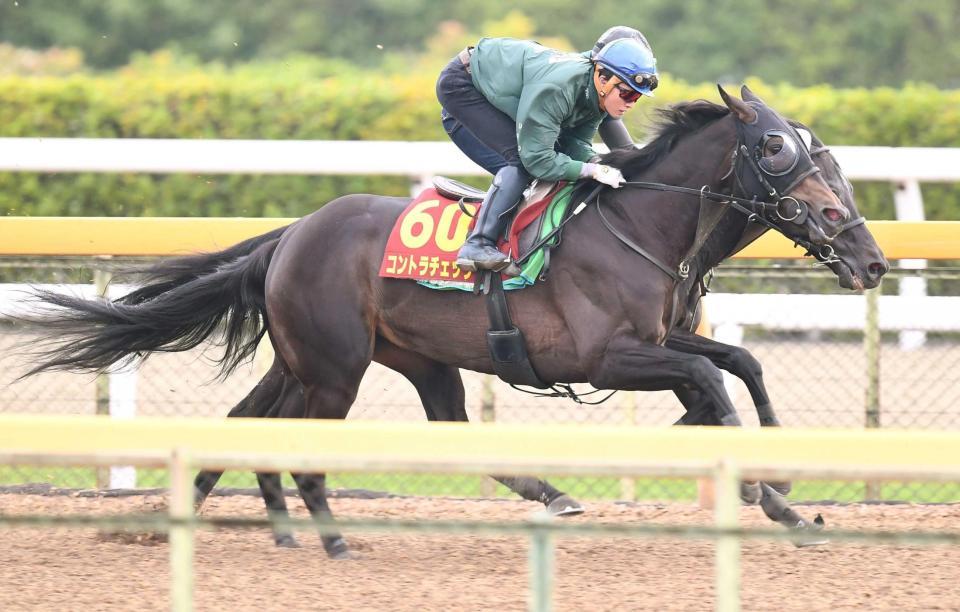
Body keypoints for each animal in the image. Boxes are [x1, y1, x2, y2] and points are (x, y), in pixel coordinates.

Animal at [16, 86, 884, 560]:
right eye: (776, 148)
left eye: (827, 156)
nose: (868, 257)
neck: (644, 224)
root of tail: (287, 235)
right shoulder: (608, 356)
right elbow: (712, 377)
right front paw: (769, 493)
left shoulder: (662, 339)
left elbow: (739, 365)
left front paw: (782, 483)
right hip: (334, 366)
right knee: (300, 439)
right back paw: (321, 533)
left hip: (373, 360)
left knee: (265, 421)